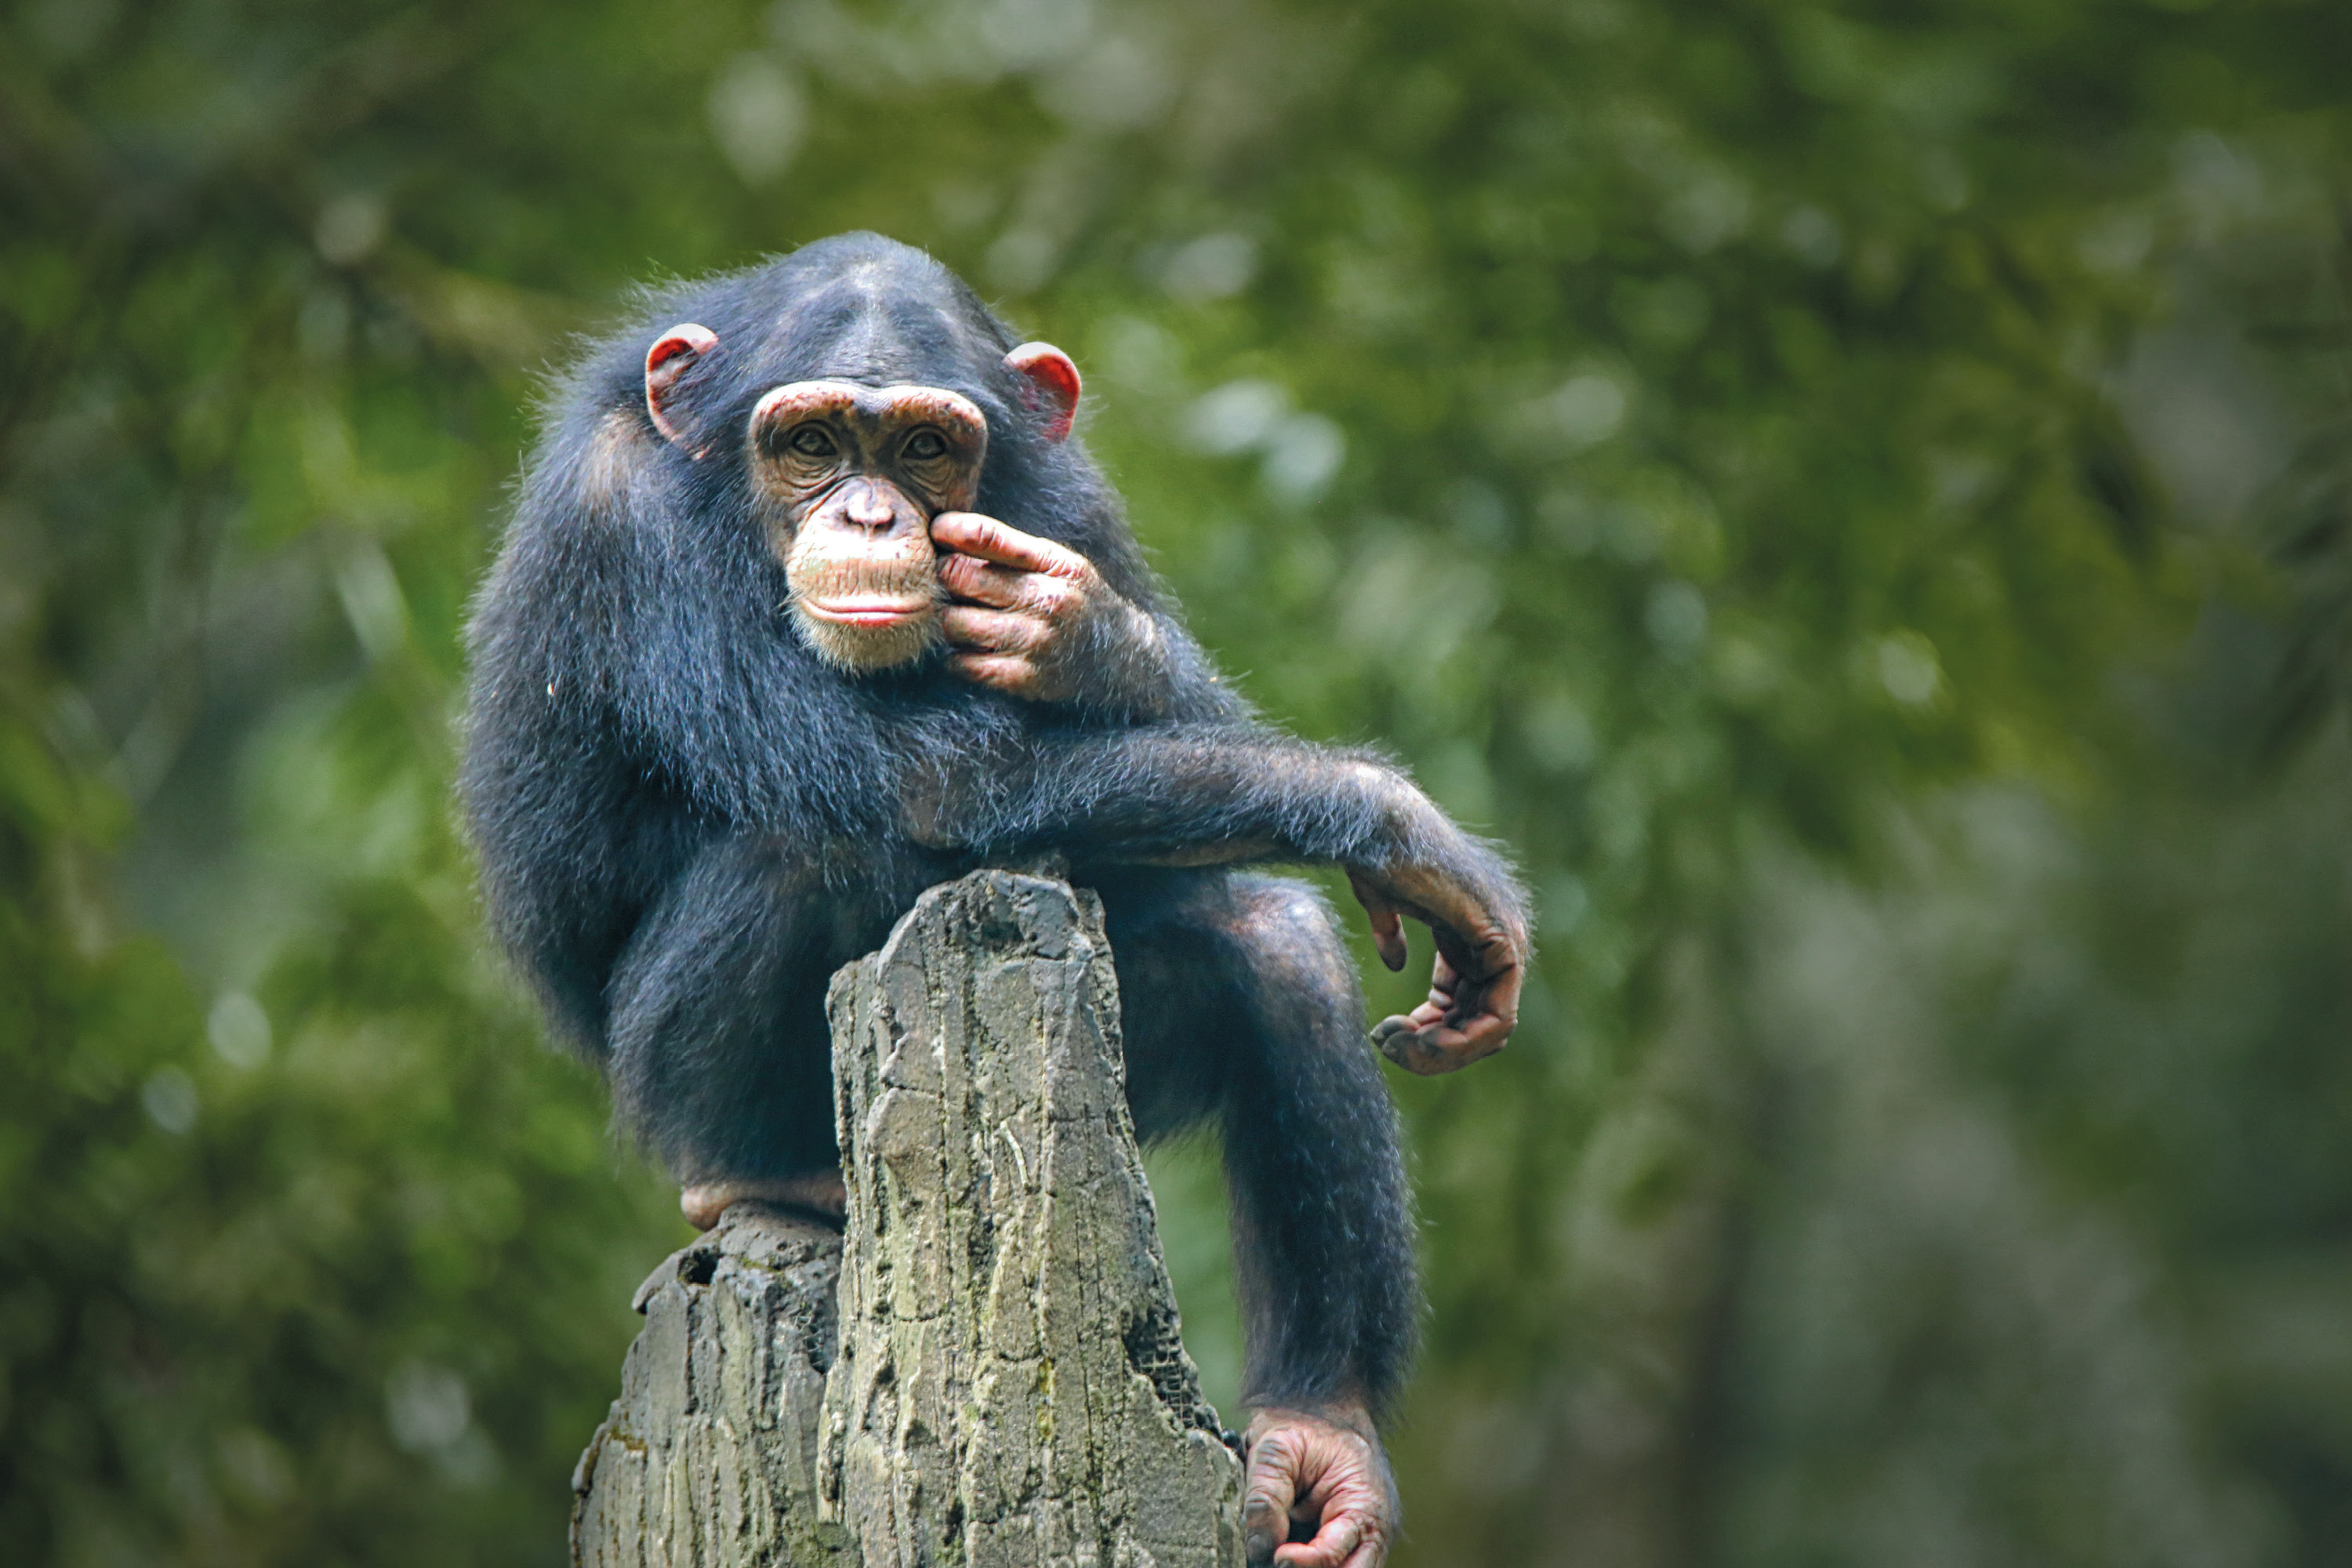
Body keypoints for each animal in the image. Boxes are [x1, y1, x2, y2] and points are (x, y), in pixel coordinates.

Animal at [463, 236, 1524, 1568]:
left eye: (924, 448)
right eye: (811, 442)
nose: (871, 513)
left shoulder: (1071, 504)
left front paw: (1089, 636)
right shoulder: (626, 525)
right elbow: (932, 783)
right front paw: (1400, 824)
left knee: (1271, 946)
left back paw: (1321, 1434)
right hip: (660, 1087)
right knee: (813, 845)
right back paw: (762, 1172)